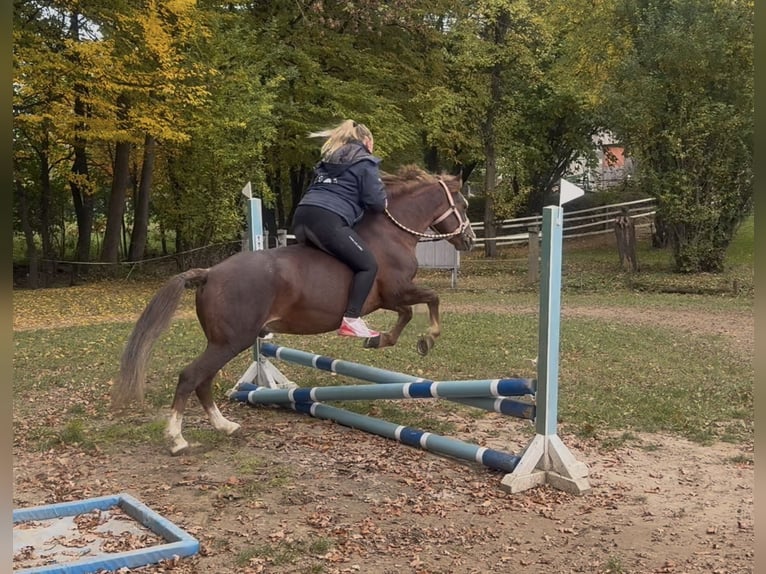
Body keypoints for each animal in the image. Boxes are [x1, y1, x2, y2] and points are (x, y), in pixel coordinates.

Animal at [112, 165, 476, 454]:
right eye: (462, 205)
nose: (470, 240)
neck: (391, 234)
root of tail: (210, 273)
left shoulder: (392, 297)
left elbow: (409, 313)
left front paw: (379, 339)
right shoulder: (396, 291)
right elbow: (429, 301)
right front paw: (424, 339)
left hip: (225, 342)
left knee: (203, 380)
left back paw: (225, 426)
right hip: (232, 341)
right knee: (191, 377)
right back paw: (177, 439)